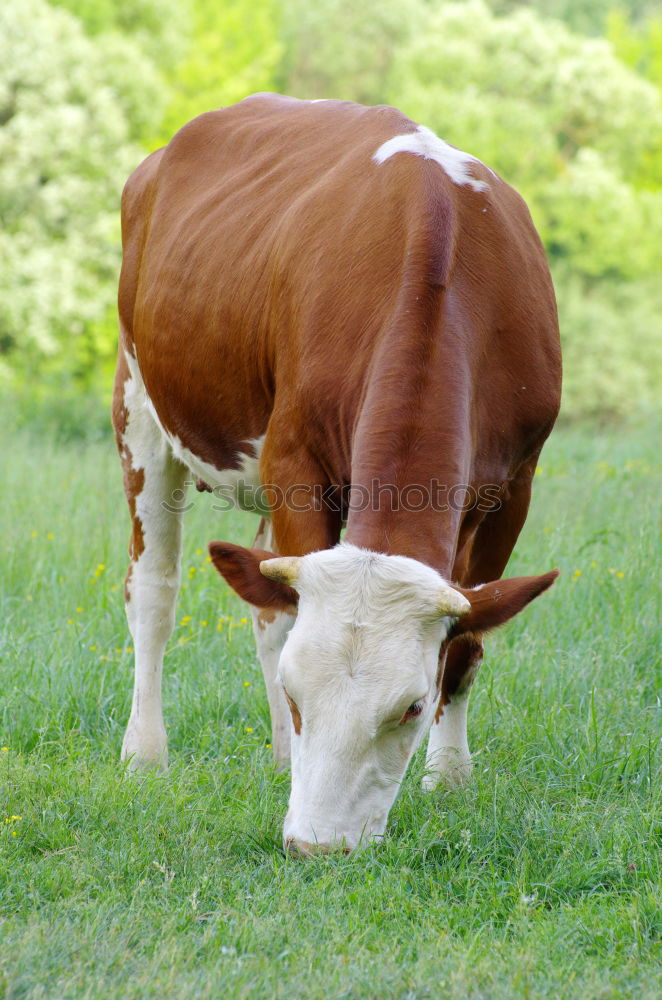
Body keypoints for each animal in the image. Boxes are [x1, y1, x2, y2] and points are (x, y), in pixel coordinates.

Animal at [113, 94, 560, 856]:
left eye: (412, 706)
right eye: (298, 694)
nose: (316, 845)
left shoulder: (515, 486)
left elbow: (466, 643)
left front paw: (449, 780)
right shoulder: (293, 459)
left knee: (266, 600)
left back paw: (276, 759)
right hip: (138, 400)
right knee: (155, 592)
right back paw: (145, 755)